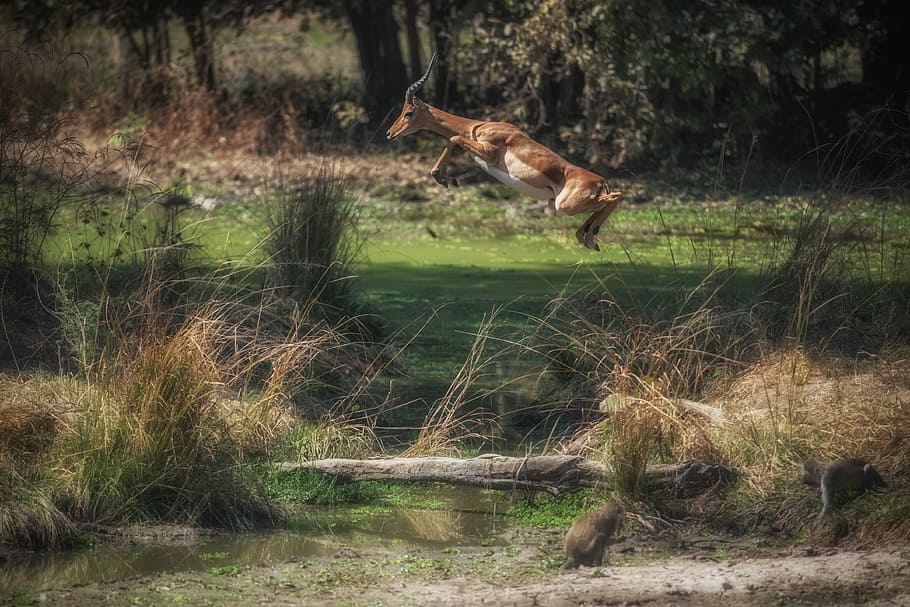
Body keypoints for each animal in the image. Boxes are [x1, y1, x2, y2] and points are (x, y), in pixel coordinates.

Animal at [386, 53, 622, 251]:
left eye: (408, 112)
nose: (390, 133)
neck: (478, 126)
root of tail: (600, 180)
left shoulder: (489, 153)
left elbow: (454, 138)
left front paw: (444, 178)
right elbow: (454, 140)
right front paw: (446, 178)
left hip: (565, 205)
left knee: (615, 196)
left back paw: (589, 238)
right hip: (558, 204)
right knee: (609, 201)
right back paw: (587, 238)